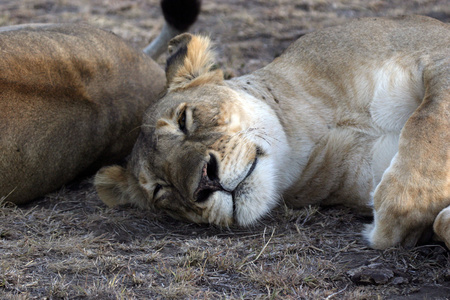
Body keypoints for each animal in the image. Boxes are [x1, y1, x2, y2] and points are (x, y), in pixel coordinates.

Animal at [93, 15, 448, 250]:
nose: (206, 183)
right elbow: (439, 218)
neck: (320, 129)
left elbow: (428, 119)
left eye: (184, 120)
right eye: (160, 190)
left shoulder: (438, 53)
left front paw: (399, 206)